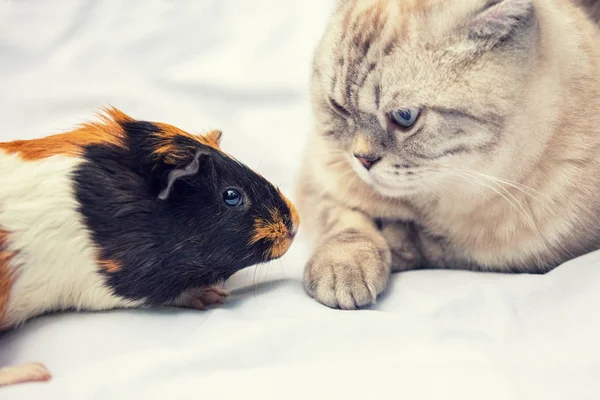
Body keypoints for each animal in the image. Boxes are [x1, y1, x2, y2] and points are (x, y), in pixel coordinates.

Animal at [294, 0, 600, 310]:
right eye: (339, 108)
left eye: (405, 117)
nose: (362, 160)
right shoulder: (321, 175)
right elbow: (346, 223)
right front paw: (343, 270)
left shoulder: (517, 256)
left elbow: (425, 244)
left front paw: (394, 242)